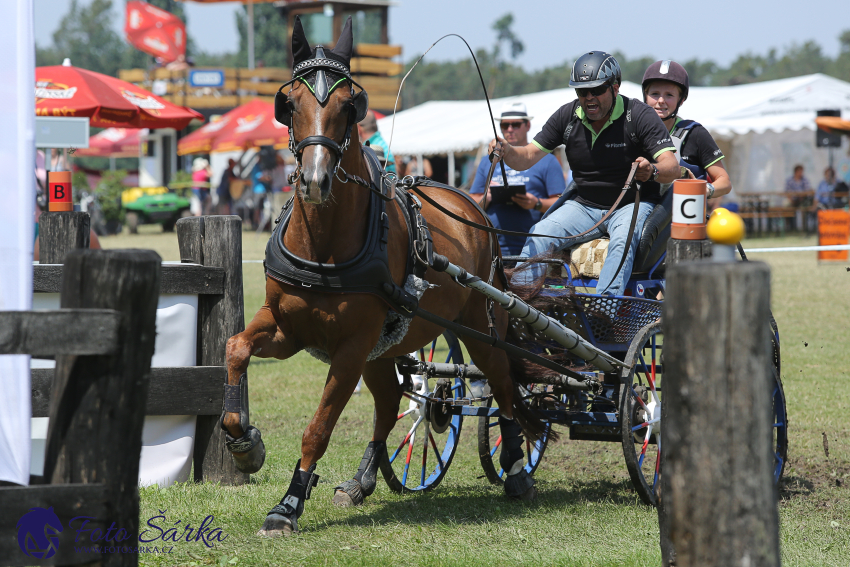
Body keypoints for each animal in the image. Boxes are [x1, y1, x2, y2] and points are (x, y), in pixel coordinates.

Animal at [222, 16, 544, 536]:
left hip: (480, 323)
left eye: (347, 106)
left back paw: (516, 467)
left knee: (501, 384)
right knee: (393, 399)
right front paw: (246, 444)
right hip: (387, 346)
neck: (325, 245)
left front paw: (288, 505)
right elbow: (235, 348)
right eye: (290, 105)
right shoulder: (288, 326)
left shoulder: (351, 347)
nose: (315, 181)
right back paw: (362, 480)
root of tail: (472, 206)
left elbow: (319, 427)